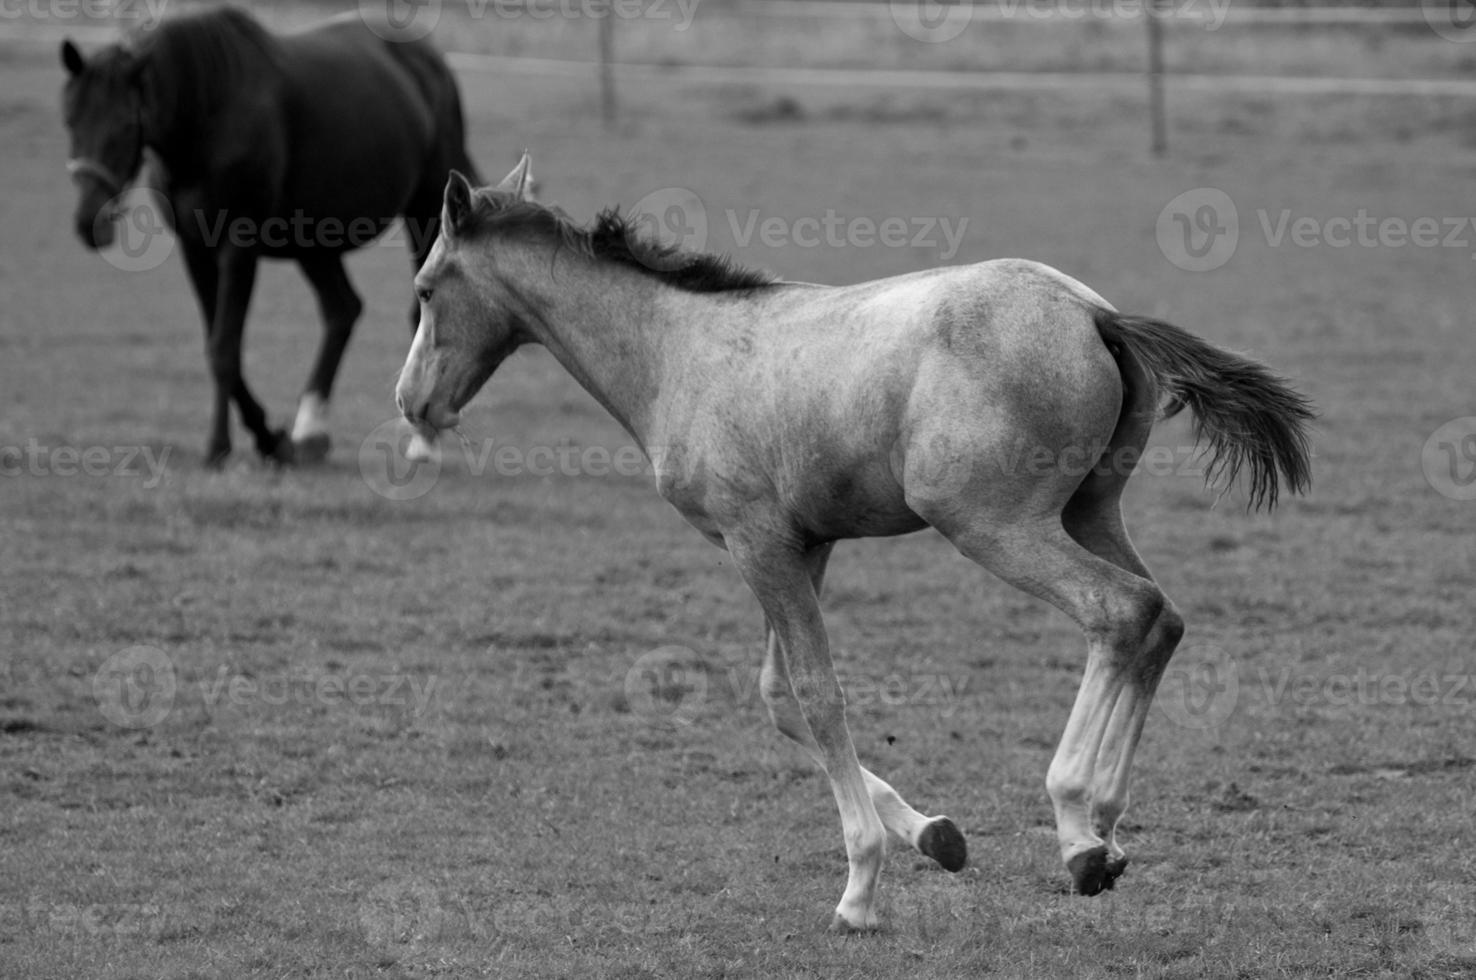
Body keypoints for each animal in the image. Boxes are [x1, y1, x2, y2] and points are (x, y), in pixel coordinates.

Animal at [61, 6, 478, 466]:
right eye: (70, 121)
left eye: (124, 124)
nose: (89, 221)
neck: (209, 113)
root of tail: (431, 63)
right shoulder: (196, 249)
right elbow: (218, 344)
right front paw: (269, 438)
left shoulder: (237, 247)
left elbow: (224, 349)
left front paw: (223, 445)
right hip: (314, 240)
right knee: (342, 310)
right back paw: (310, 431)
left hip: (424, 210)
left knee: (414, 312)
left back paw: (422, 441)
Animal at [395, 157, 1316, 932]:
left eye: (427, 286)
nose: (411, 402)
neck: (678, 349)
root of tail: (1093, 313)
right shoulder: (807, 544)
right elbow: (777, 696)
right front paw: (936, 835)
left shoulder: (756, 543)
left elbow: (816, 694)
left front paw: (861, 887)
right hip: (1092, 510)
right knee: (1162, 618)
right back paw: (1110, 830)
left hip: (992, 524)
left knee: (1120, 610)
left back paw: (1077, 824)